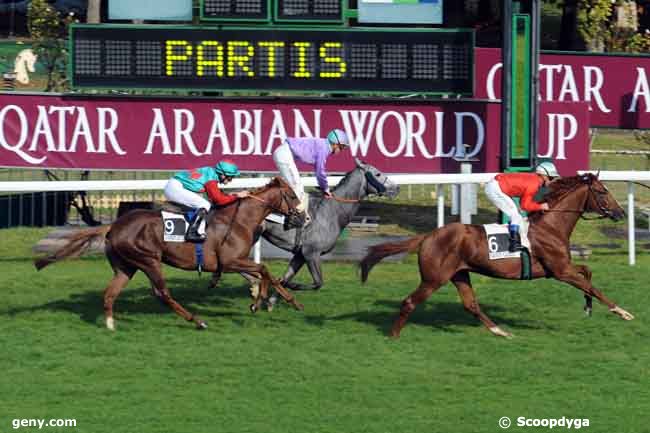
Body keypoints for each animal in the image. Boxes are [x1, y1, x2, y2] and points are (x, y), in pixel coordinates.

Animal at [36, 177, 306, 330]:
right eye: (292, 195)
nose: (303, 218)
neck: (239, 219)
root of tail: (113, 226)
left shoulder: (235, 262)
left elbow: (264, 274)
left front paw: (275, 301)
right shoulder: (230, 261)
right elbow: (264, 269)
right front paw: (267, 302)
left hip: (126, 266)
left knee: (111, 293)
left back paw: (111, 324)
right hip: (149, 260)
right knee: (162, 293)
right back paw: (198, 321)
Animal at [356, 173, 632, 338]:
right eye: (603, 191)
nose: (621, 213)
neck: (551, 226)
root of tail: (428, 236)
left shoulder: (559, 268)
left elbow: (587, 273)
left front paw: (588, 307)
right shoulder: (560, 270)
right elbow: (592, 285)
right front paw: (622, 311)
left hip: (459, 274)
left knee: (470, 304)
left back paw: (501, 331)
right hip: (434, 279)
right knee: (410, 302)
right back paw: (393, 337)